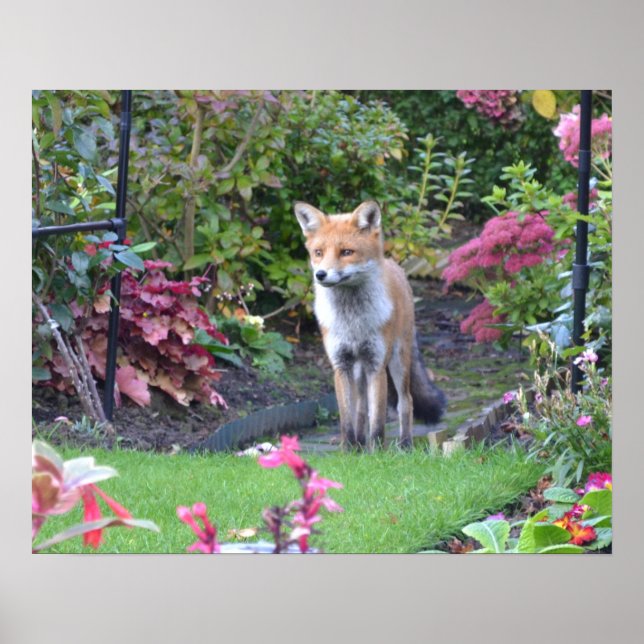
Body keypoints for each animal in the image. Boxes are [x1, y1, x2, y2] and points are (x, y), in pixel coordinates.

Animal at [294, 200, 446, 449]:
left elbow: (378, 420)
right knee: (361, 408)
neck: (352, 322)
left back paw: (405, 444)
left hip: (398, 361)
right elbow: (347, 418)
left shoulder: (377, 365)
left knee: (406, 401)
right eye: (318, 253)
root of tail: (394, 265)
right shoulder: (341, 365)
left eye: (346, 252)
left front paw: (378, 452)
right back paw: (360, 445)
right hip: (359, 370)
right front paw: (349, 449)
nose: (320, 274)